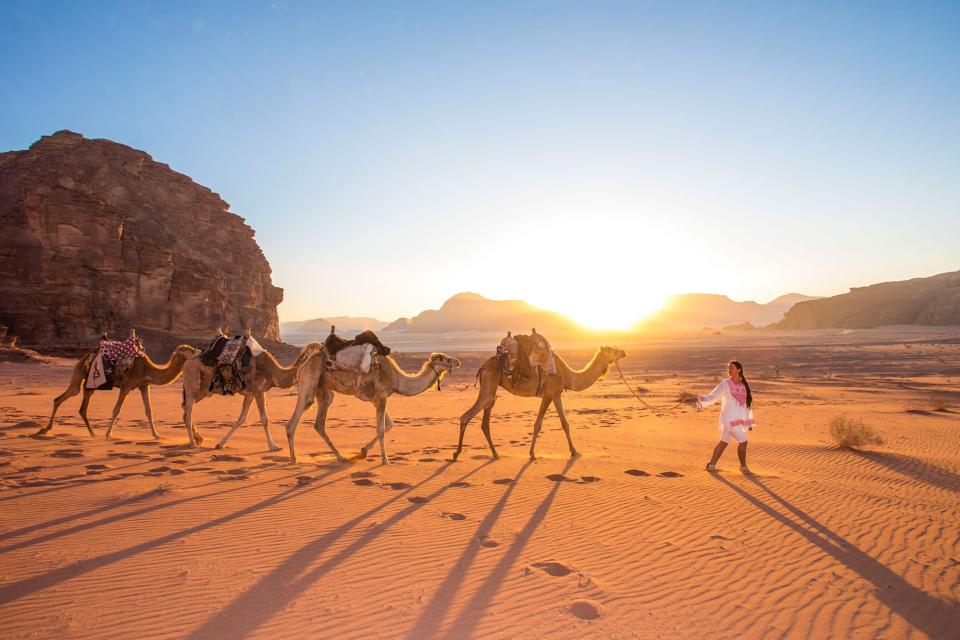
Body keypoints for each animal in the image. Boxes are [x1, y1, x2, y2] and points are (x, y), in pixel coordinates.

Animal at [38, 336, 200, 440]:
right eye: (190, 350)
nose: (199, 352)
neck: (148, 369)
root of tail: (85, 356)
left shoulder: (143, 385)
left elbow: (149, 411)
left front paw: (157, 435)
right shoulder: (125, 386)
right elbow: (116, 410)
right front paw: (108, 435)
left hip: (87, 383)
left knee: (71, 403)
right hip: (82, 376)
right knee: (68, 399)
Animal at [182, 340, 324, 450]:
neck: (274, 373)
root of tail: (187, 362)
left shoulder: (251, 394)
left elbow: (241, 419)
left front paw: (220, 444)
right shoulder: (259, 392)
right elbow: (265, 419)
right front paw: (273, 446)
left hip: (205, 389)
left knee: (186, 408)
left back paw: (198, 439)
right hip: (192, 379)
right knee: (188, 411)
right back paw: (192, 444)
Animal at [284, 350, 462, 464]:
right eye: (446, 359)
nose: (458, 362)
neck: (398, 379)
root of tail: (304, 362)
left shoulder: (378, 399)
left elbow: (389, 424)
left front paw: (363, 451)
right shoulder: (382, 397)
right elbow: (381, 429)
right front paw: (385, 460)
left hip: (324, 390)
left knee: (319, 423)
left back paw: (340, 456)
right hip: (309, 381)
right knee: (294, 420)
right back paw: (293, 459)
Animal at [454, 348, 628, 462]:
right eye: (612, 350)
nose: (624, 352)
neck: (567, 375)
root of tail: (483, 366)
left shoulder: (556, 394)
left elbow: (564, 423)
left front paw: (573, 451)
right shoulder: (549, 394)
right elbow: (540, 424)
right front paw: (532, 454)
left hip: (492, 389)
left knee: (485, 421)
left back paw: (496, 454)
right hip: (489, 385)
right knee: (466, 416)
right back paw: (456, 454)